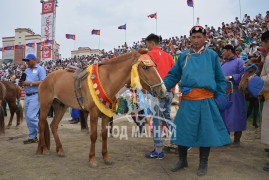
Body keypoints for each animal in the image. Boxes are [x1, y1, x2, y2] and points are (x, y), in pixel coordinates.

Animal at [35, 48, 165, 167]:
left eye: (155, 65)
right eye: (145, 67)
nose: (162, 91)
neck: (106, 80)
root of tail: (44, 80)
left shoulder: (106, 114)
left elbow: (104, 135)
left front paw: (106, 157)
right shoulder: (93, 112)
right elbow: (93, 135)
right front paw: (92, 159)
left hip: (61, 107)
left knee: (53, 126)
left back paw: (60, 150)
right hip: (45, 105)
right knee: (41, 124)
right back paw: (43, 149)